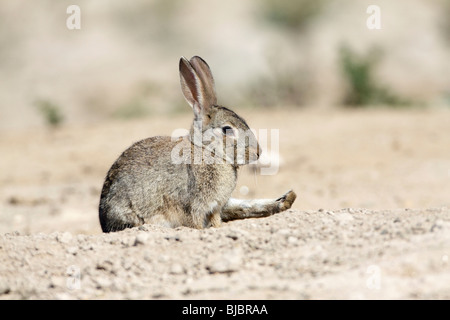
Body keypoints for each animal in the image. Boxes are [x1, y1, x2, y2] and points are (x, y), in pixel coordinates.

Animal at [98, 55, 296, 232]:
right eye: (227, 130)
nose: (257, 152)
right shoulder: (194, 204)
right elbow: (195, 222)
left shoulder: (214, 207)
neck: (208, 151)